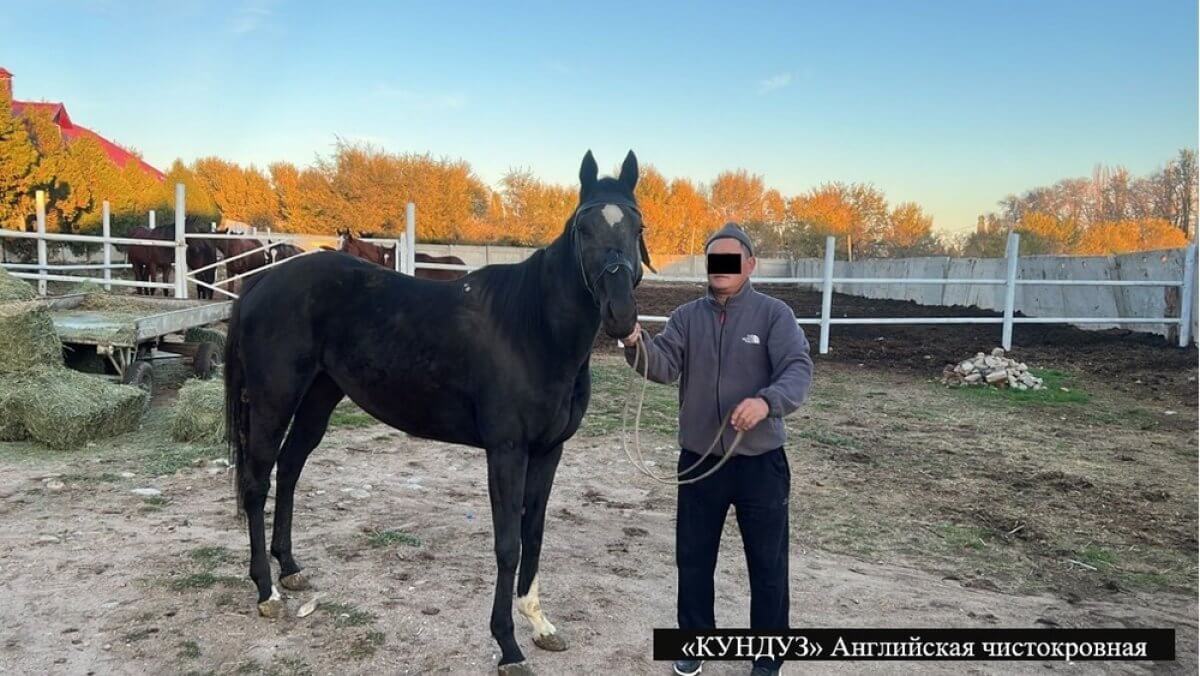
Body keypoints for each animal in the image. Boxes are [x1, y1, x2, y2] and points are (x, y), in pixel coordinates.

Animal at [225, 150, 657, 672]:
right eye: (583, 228)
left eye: (637, 227)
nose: (621, 315)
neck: (532, 329)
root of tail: (260, 283)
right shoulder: (506, 451)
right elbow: (508, 544)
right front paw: (508, 645)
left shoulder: (548, 451)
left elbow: (533, 534)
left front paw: (539, 624)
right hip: (273, 402)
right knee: (258, 482)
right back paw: (266, 591)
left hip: (318, 398)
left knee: (289, 471)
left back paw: (289, 569)